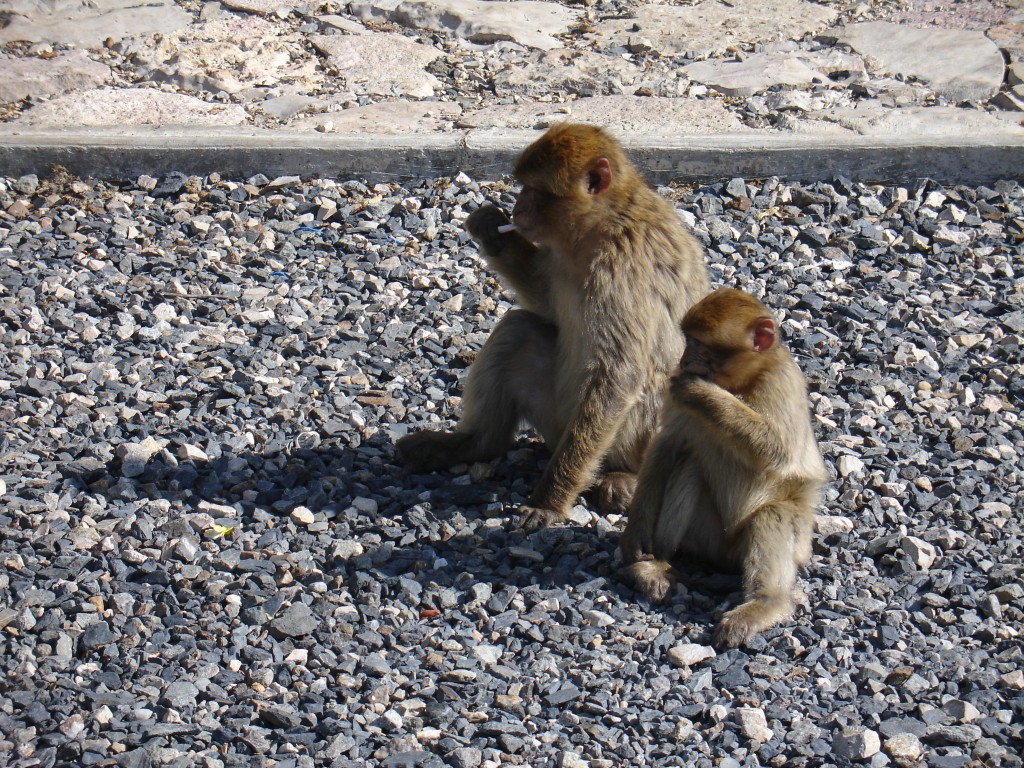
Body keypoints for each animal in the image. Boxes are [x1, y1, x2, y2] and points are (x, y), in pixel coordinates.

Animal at [395, 128, 708, 536]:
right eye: (522, 187)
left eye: (534, 189)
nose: (516, 209)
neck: (603, 222)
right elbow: (545, 304)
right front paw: (492, 229)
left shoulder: (622, 269)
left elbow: (618, 376)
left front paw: (549, 502)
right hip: (556, 420)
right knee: (519, 328)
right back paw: (475, 445)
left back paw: (625, 479)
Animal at [618, 288, 827, 651]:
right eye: (687, 341)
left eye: (700, 344)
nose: (685, 359)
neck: (741, 383)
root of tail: (725, 557)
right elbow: (666, 447)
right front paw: (636, 533)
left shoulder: (781, 381)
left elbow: (778, 451)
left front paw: (700, 391)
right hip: (707, 538)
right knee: (688, 466)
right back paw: (658, 564)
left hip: (794, 541)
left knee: (773, 514)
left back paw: (766, 603)